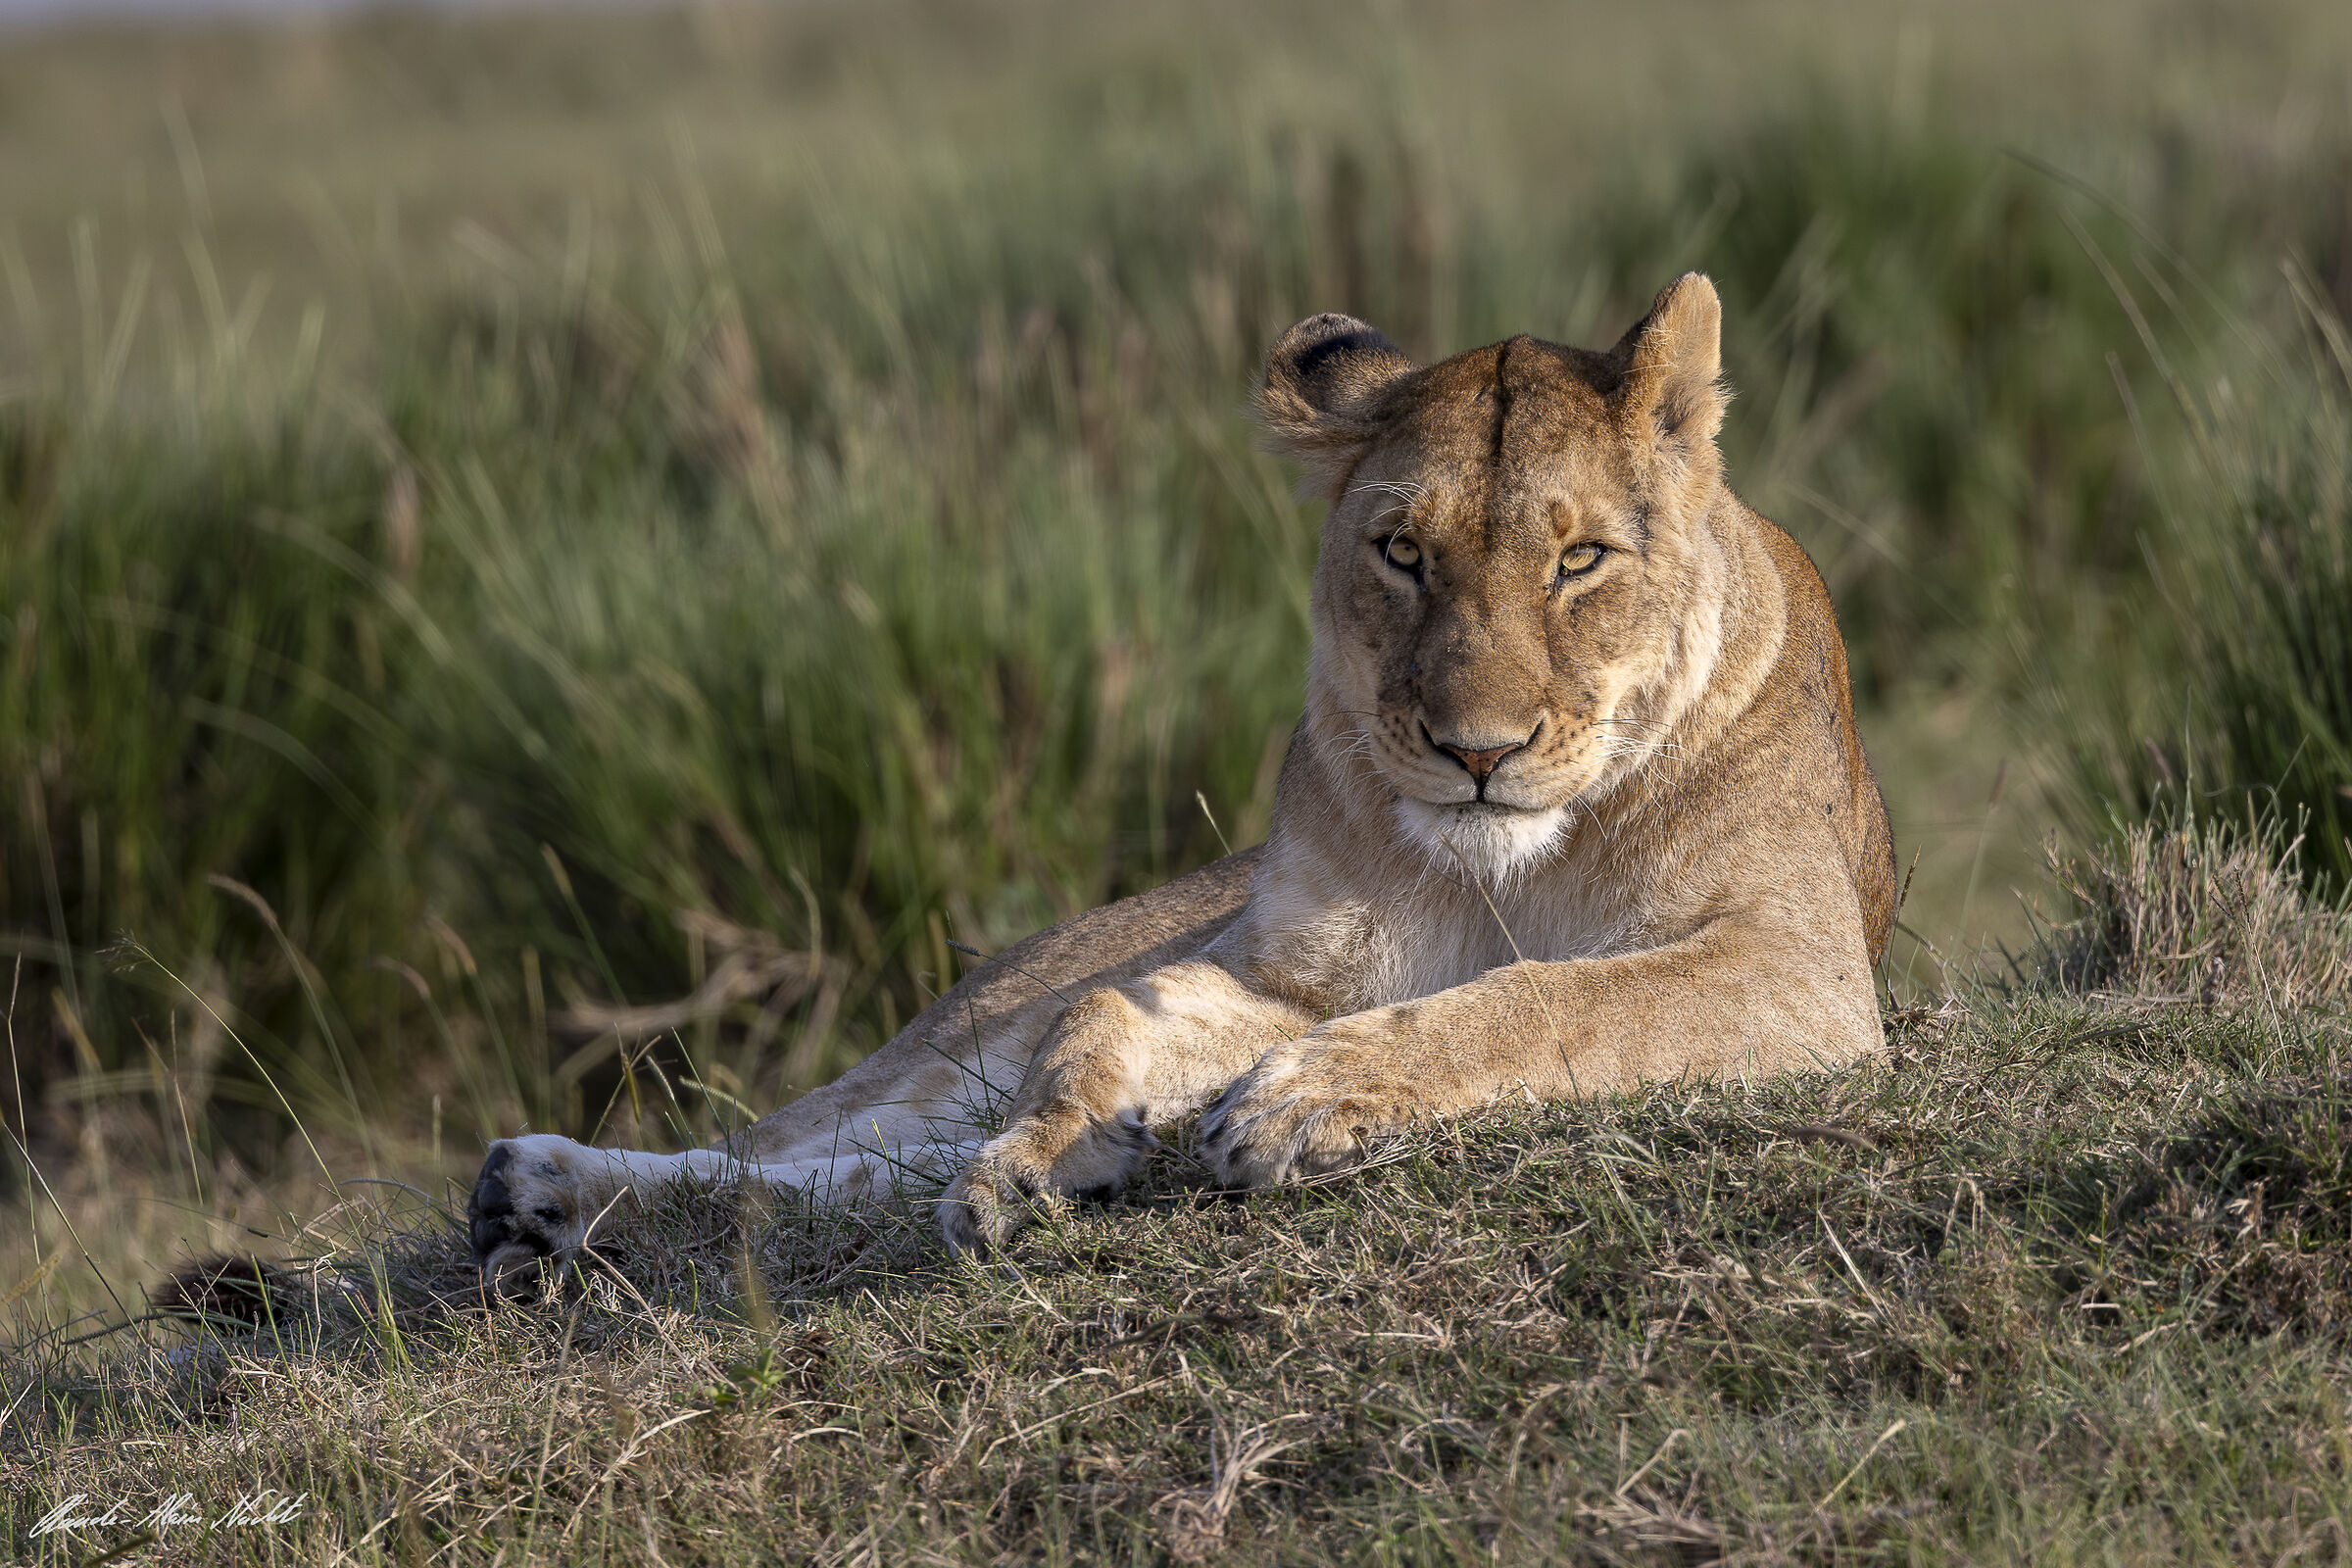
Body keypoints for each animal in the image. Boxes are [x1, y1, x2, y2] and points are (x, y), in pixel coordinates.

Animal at [467, 273, 1897, 1286]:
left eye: (1581, 559)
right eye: (1402, 553)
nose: (1476, 752)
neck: (1495, 872)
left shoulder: (1798, 967)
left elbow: (1557, 996)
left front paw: (1308, 1099)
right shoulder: (1278, 973)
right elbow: (1099, 1018)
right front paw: (1044, 1154)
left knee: (850, 1173)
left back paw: (543, 1205)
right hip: (951, 1037)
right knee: (815, 1144)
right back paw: (538, 1186)